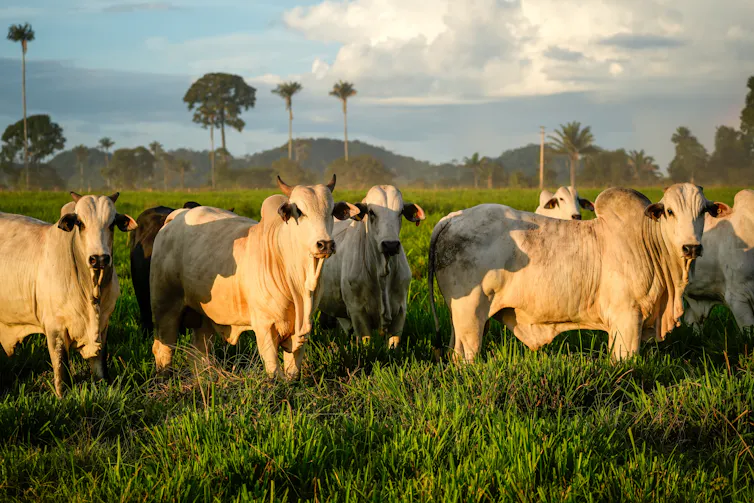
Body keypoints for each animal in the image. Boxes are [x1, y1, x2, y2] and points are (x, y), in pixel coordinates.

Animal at [0, 192, 137, 396]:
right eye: (80, 223)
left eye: (112, 223)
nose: (99, 259)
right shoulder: (54, 326)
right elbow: (62, 368)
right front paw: (62, 396)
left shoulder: (103, 325)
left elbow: (100, 368)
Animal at [149, 175, 360, 378]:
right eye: (299, 211)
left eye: (331, 211)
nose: (325, 244)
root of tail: (176, 216)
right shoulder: (264, 325)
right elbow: (274, 370)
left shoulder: (301, 331)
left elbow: (293, 371)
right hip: (165, 307)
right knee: (163, 349)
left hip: (204, 316)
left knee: (199, 352)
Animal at [317, 185, 425, 348]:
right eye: (372, 212)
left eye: (401, 212)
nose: (390, 245)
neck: (382, 271)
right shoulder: (358, 313)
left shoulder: (400, 312)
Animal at [428, 184, 729, 362]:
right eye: (669, 211)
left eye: (704, 210)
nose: (691, 247)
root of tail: (452, 218)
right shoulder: (627, 318)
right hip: (469, 315)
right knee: (464, 356)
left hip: (463, 318)